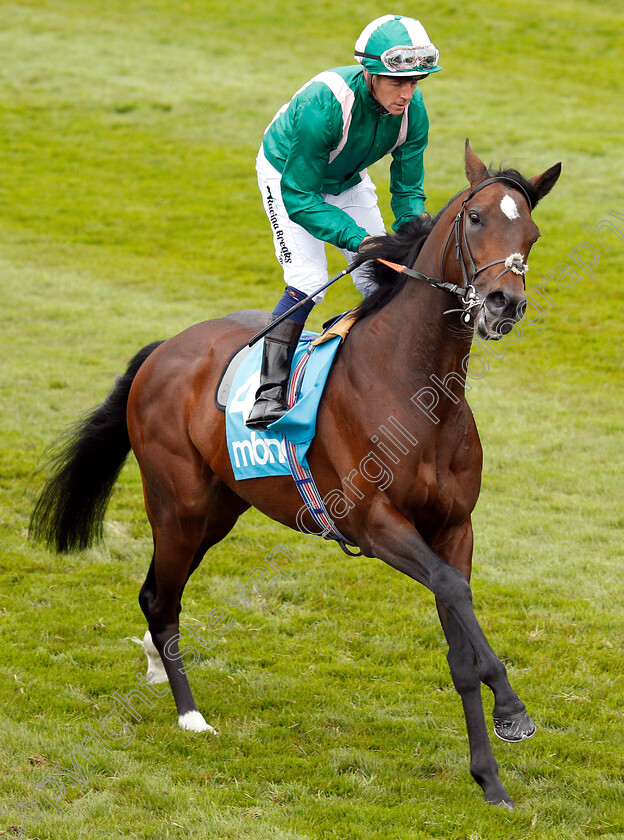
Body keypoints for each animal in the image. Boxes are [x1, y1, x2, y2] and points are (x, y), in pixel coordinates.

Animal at [30, 144, 560, 808]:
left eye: (532, 233)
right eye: (477, 218)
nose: (503, 304)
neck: (417, 389)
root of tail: (163, 349)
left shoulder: (454, 528)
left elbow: (459, 636)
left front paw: (489, 777)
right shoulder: (376, 525)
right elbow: (453, 592)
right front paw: (512, 708)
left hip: (219, 509)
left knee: (158, 593)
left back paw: (156, 663)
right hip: (178, 504)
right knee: (162, 597)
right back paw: (189, 714)